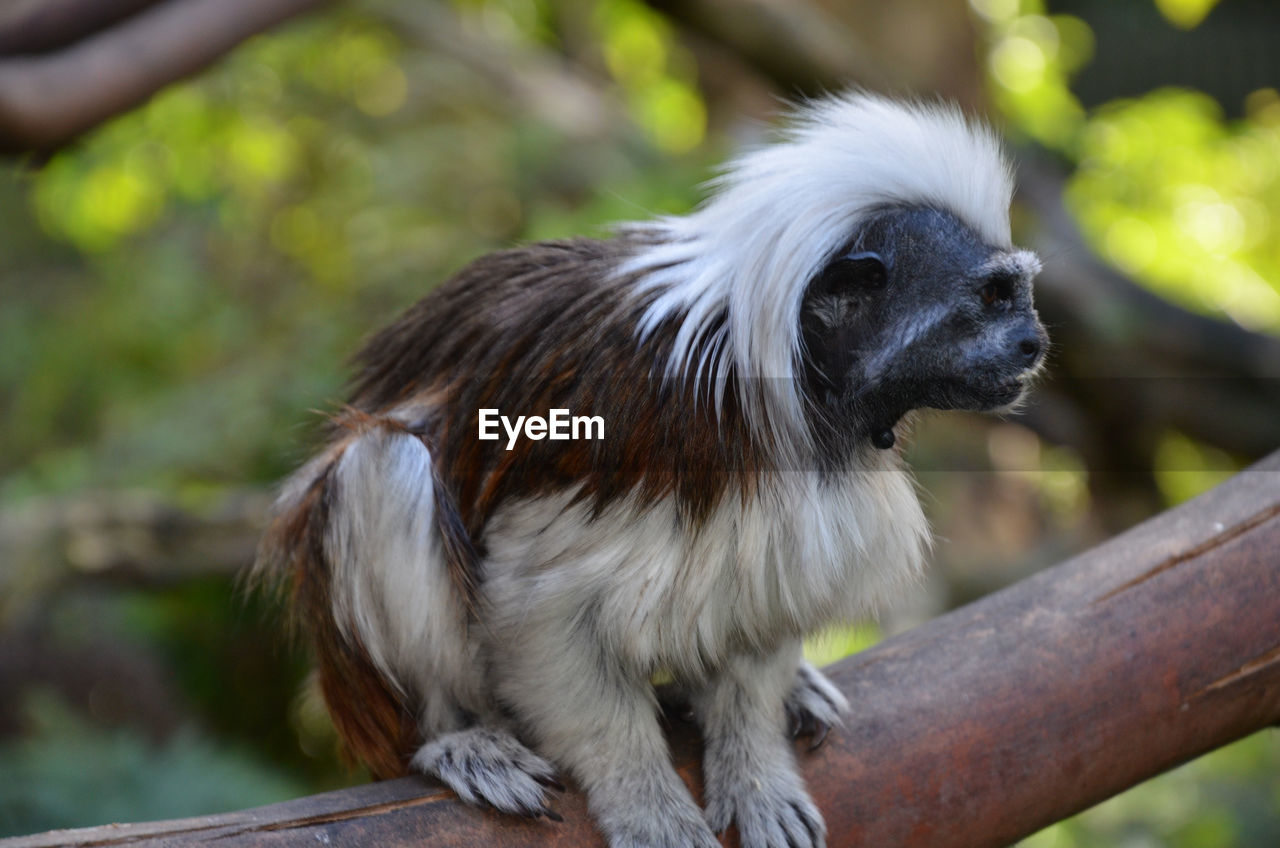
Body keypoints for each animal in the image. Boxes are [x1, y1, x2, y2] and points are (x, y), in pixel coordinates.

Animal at [254, 92, 1044, 848]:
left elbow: (770, 596)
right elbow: (535, 613)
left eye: (1020, 296)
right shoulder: (626, 445)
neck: (777, 377)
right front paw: (645, 804)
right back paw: (456, 736)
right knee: (383, 464)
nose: (1035, 342)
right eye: (992, 298)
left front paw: (755, 769)